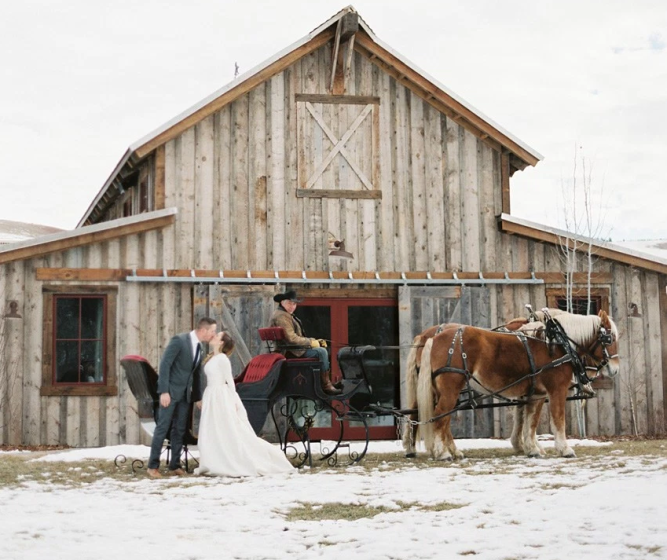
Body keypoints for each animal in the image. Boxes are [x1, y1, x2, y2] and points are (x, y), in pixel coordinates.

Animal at [418, 310, 620, 460]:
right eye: (610, 339)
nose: (615, 369)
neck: (558, 344)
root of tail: (434, 338)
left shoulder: (536, 394)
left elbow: (530, 421)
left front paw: (532, 449)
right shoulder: (557, 390)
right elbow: (558, 419)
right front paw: (564, 449)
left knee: (444, 419)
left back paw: (451, 451)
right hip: (451, 389)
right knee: (440, 416)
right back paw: (443, 453)